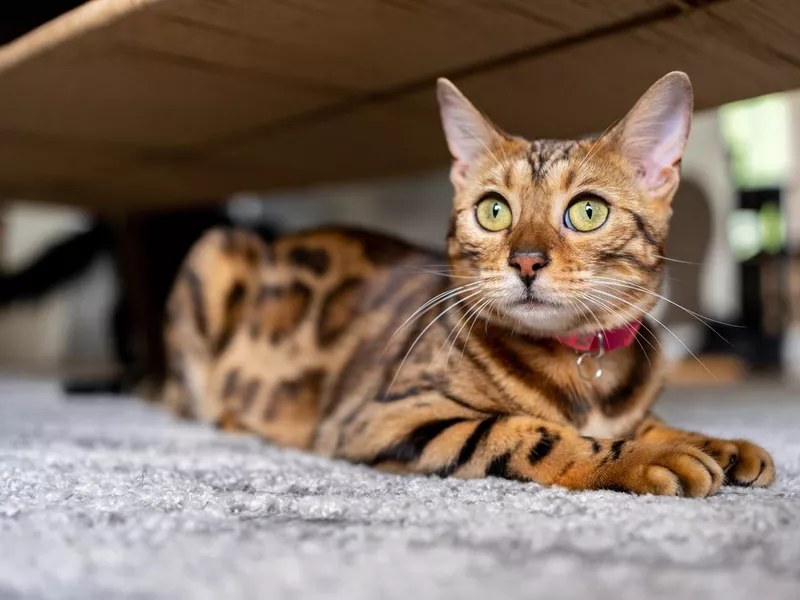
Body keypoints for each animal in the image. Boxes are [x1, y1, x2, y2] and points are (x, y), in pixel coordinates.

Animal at [164, 72, 776, 496]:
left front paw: (716, 443)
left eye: (587, 212)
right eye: (493, 211)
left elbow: (652, 421)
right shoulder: (383, 415)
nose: (526, 261)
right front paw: (644, 458)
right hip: (216, 251)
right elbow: (527, 431)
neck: (582, 370)